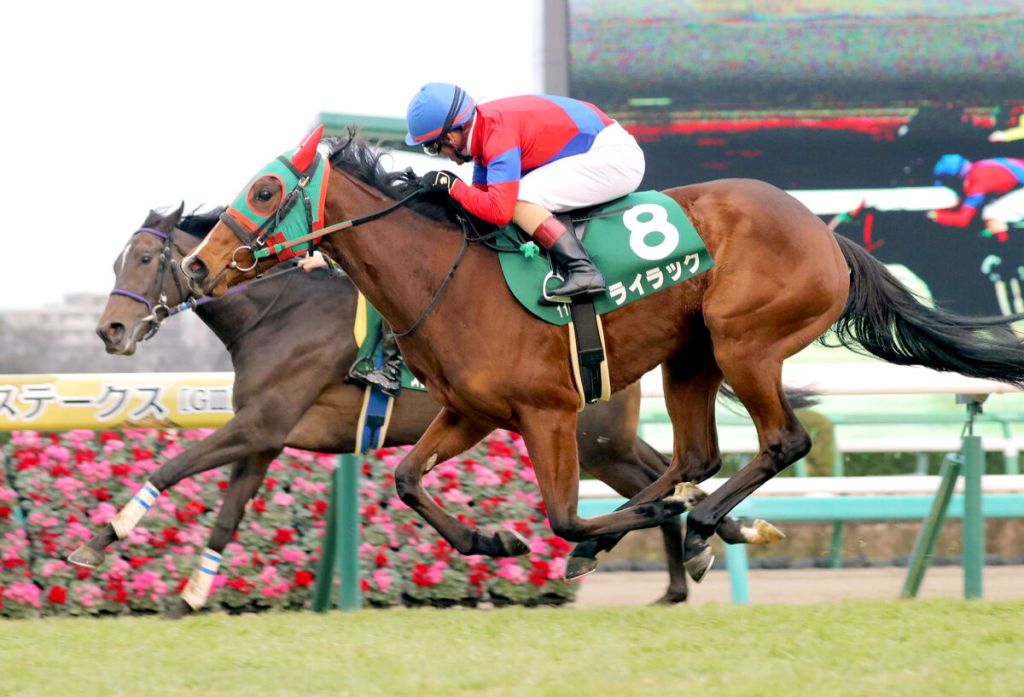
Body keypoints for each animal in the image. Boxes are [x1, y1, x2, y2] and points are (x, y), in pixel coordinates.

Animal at [72, 204, 771, 614]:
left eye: (144, 258)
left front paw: (103, 541)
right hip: (603, 443)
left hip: (594, 441)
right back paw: (698, 555)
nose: (110, 331)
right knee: (665, 468)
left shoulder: (259, 424)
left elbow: (171, 468)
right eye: (117, 259)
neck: (275, 313)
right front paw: (189, 596)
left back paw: (698, 547)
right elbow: (224, 518)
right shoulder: (265, 439)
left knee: (660, 473)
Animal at [183, 130, 1024, 582]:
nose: (196, 266)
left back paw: (702, 520)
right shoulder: (470, 412)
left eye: (264, 192)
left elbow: (561, 513)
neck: (446, 275)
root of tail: (825, 231)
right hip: (692, 355)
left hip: (745, 341)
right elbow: (407, 479)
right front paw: (491, 538)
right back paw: (690, 524)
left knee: (779, 441)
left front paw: (622, 526)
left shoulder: (547, 411)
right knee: (696, 452)